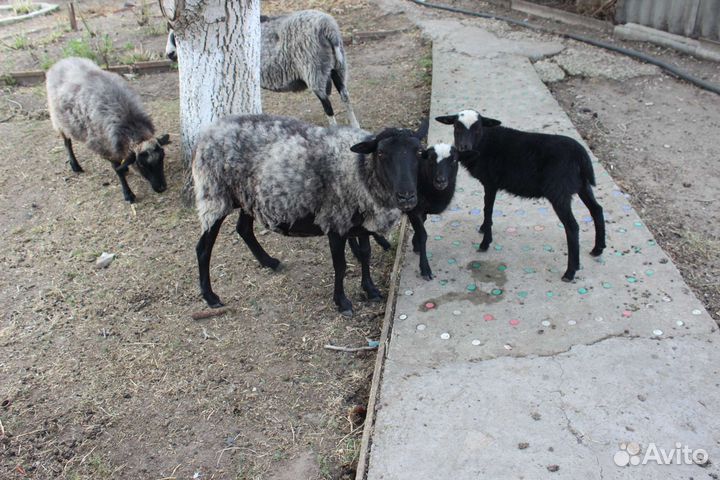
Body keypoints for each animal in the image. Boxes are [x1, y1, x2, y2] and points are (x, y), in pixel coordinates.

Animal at [46, 57, 170, 203]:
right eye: (141, 164)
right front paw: (128, 194)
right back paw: (75, 165)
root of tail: (62, 61)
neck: (130, 125)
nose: (162, 188)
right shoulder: (106, 147)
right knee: (67, 143)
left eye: (162, 157)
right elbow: (118, 170)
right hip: (59, 120)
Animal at [165, 10, 360, 128]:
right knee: (345, 96)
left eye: (174, 36)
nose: (169, 54)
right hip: (336, 67)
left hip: (314, 70)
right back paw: (355, 126)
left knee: (328, 106)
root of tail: (329, 29)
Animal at [193, 114, 427, 315]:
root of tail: (208, 132)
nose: (407, 196)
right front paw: (342, 302)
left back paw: (269, 262)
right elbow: (340, 265)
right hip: (214, 194)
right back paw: (211, 297)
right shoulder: (335, 222)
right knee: (203, 248)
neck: (358, 169)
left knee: (243, 229)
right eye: (381, 153)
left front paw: (370, 290)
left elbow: (365, 254)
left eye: (419, 152)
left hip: (248, 197)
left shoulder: (361, 223)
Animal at [436, 109, 606, 282]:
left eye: (478, 129)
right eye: (456, 127)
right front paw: (484, 228)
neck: (484, 143)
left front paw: (485, 243)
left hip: (559, 191)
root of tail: (581, 155)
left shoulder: (491, 182)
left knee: (572, 226)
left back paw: (570, 272)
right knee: (597, 209)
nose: (463, 147)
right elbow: (487, 210)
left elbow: (487, 210)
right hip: (582, 185)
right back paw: (598, 249)